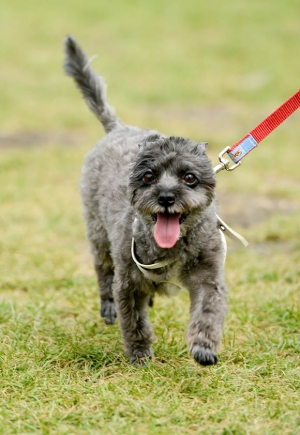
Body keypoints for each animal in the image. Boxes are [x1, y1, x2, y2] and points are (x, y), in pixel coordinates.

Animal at [63, 35, 227, 366]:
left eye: (190, 177)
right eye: (148, 176)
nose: (165, 196)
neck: (172, 248)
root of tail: (118, 127)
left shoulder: (208, 277)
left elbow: (208, 311)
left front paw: (204, 346)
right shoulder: (128, 282)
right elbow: (134, 321)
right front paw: (140, 355)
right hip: (98, 234)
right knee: (103, 271)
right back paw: (108, 305)